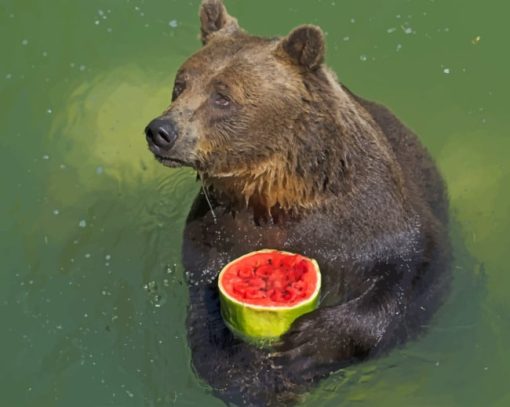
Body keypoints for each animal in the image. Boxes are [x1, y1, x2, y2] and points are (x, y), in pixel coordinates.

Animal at [144, 1, 450, 406]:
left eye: (222, 96)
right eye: (181, 84)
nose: (161, 131)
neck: (276, 193)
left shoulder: (371, 218)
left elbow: (414, 270)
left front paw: (308, 344)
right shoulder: (215, 227)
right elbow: (204, 302)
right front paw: (243, 374)